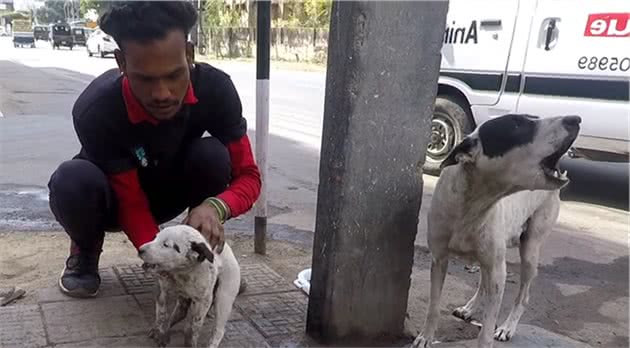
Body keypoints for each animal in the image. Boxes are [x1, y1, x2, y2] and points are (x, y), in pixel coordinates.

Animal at [414, 115, 584, 348]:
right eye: (518, 125)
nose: (575, 119)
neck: (472, 205)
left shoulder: (497, 269)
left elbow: (486, 328)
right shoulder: (439, 259)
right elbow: (433, 305)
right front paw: (426, 337)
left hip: (530, 250)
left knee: (523, 295)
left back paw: (507, 327)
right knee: (484, 283)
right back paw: (470, 308)